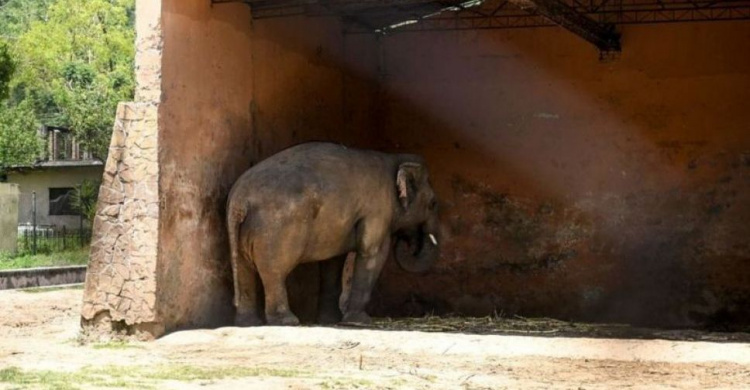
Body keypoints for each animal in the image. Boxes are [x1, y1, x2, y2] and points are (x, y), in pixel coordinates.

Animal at [228, 142, 440, 324]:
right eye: (432, 204)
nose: (407, 241)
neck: (394, 159)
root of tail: (239, 201)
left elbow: (333, 262)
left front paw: (331, 320)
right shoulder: (378, 210)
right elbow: (372, 252)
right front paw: (359, 321)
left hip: (243, 233)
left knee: (244, 269)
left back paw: (248, 324)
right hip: (275, 232)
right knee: (275, 271)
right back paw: (287, 321)